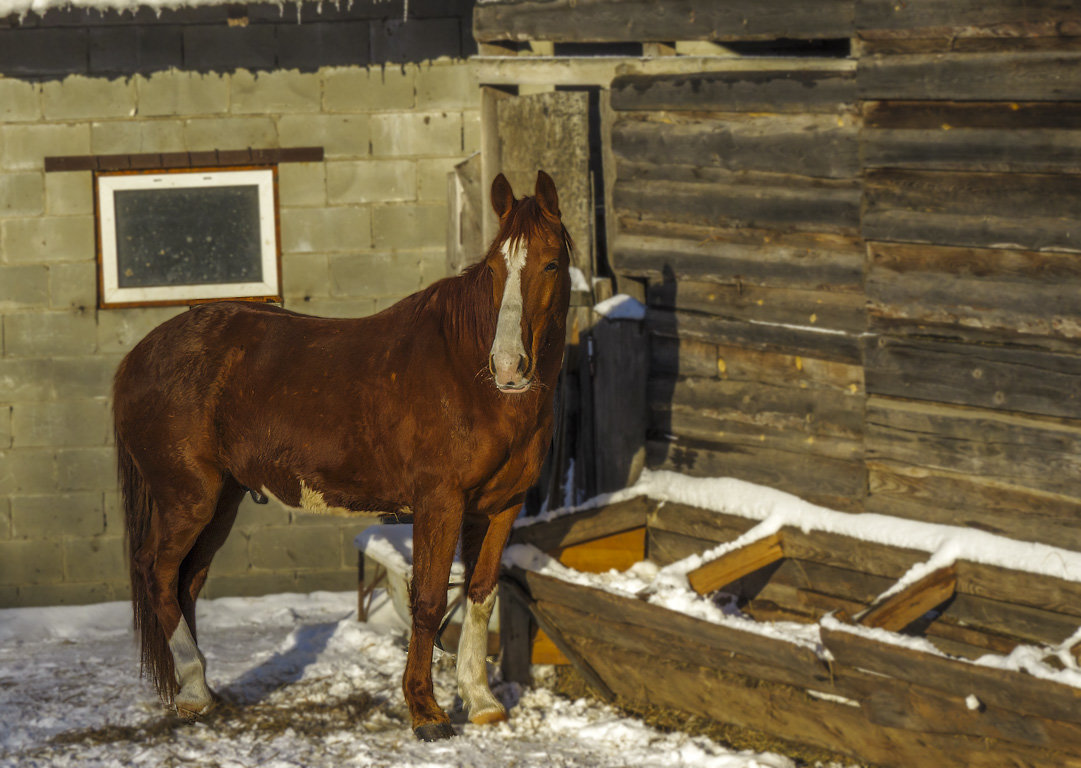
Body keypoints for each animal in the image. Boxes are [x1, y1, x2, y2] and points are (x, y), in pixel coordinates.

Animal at [114, 171, 575, 744]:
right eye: (493, 268)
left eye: (551, 264)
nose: (509, 366)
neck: (471, 377)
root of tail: (139, 356)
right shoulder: (439, 504)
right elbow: (428, 601)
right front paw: (426, 712)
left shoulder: (500, 507)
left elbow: (480, 594)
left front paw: (482, 702)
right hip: (187, 498)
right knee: (157, 572)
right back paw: (195, 690)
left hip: (221, 501)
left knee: (187, 580)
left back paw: (198, 692)